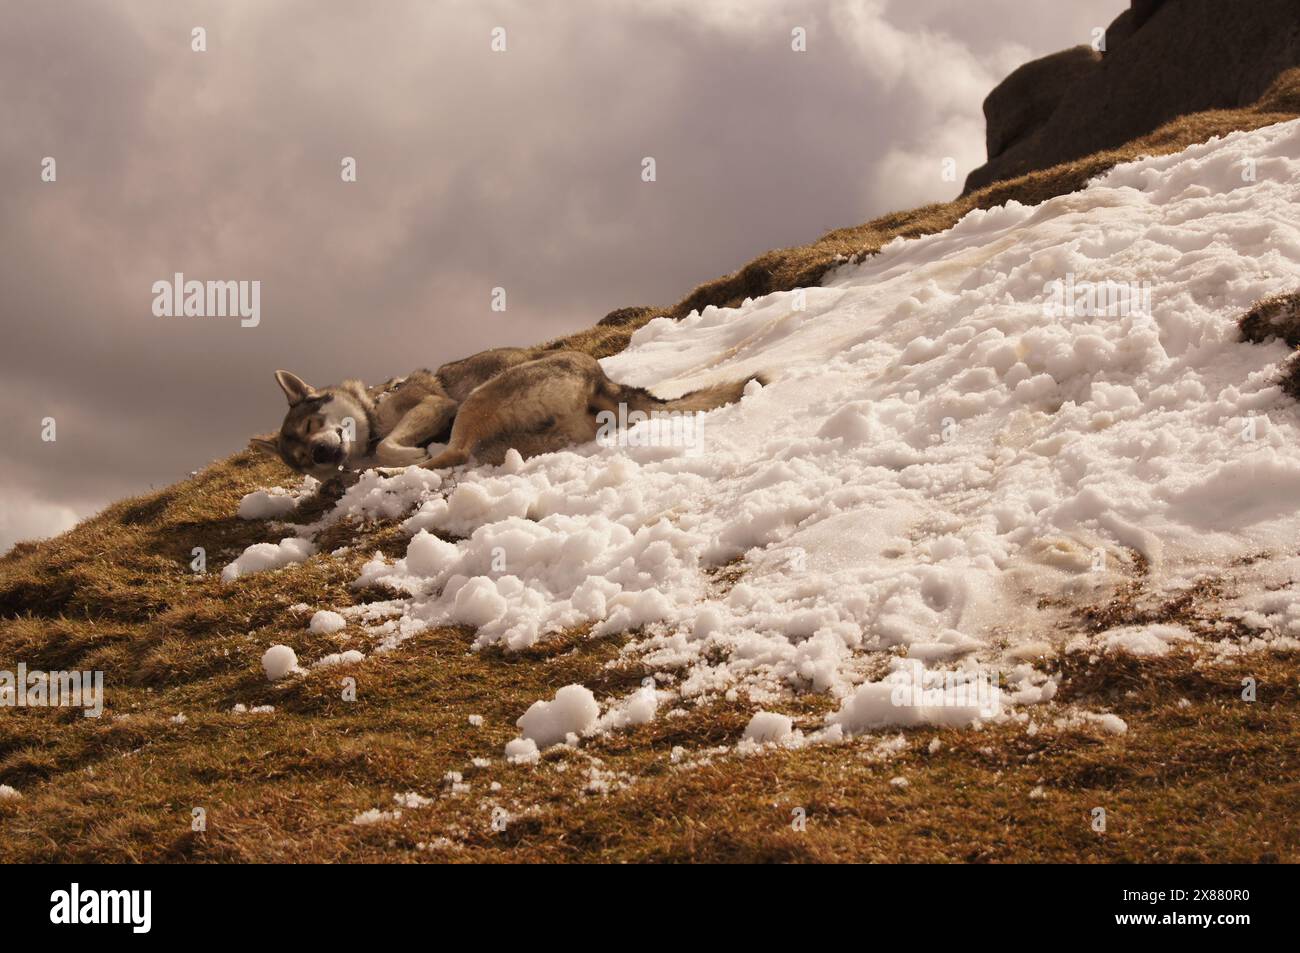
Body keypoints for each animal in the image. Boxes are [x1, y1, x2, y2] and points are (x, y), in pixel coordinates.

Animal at [252, 345, 759, 483]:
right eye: (300, 461)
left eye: (311, 425)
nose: (321, 455)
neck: (372, 408)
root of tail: (599, 377)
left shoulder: (436, 404)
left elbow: (390, 445)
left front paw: (396, 457)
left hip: (476, 401)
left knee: (454, 454)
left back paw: (397, 472)